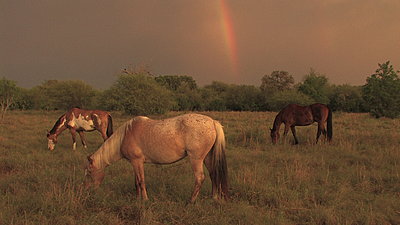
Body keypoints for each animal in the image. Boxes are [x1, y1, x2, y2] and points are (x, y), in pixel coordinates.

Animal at [83, 113, 228, 203]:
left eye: (89, 173)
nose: (87, 191)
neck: (125, 136)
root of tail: (213, 122)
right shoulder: (135, 163)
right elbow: (136, 182)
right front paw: (137, 199)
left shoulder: (137, 162)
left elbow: (141, 181)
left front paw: (145, 200)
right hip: (207, 157)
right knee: (213, 174)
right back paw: (213, 197)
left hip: (196, 159)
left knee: (200, 178)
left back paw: (191, 201)